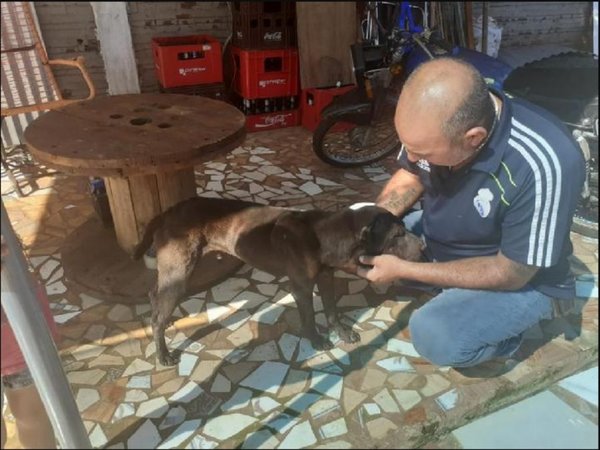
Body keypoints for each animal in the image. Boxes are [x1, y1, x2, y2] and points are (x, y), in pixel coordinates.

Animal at [134, 198, 424, 366]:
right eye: (397, 234)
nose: (423, 245)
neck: (323, 235)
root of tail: (167, 212)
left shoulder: (326, 276)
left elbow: (331, 310)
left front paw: (341, 331)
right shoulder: (301, 287)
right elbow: (309, 316)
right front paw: (316, 340)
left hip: (174, 272)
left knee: (154, 295)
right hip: (180, 271)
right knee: (157, 314)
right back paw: (163, 353)